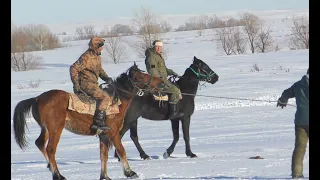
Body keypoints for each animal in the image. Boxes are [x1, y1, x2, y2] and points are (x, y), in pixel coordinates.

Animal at [12, 62, 164, 179]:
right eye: (141, 76)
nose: (161, 83)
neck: (116, 101)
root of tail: (37, 98)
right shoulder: (114, 133)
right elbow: (121, 151)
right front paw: (130, 172)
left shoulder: (103, 136)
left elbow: (103, 155)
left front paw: (105, 176)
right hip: (56, 129)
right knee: (50, 149)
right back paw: (58, 175)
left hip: (46, 129)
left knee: (40, 143)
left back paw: (50, 167)